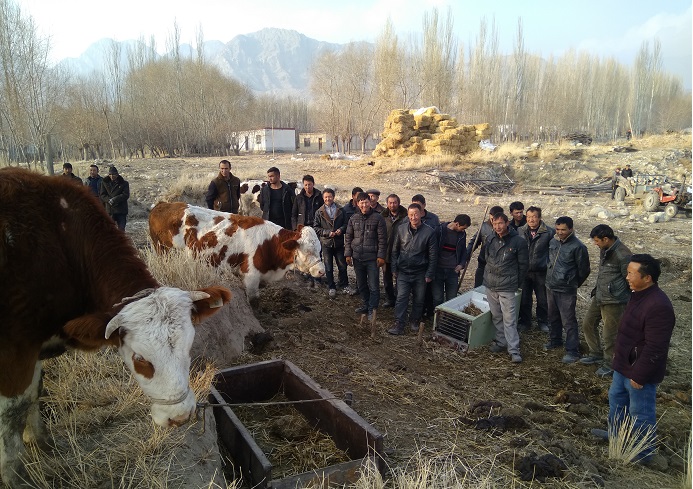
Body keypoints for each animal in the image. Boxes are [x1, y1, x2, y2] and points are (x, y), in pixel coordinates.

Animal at [0, 168, 232, 488]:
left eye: (189, 349)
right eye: (140, 360)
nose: (180, 417)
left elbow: (35, 392)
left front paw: (40, 442)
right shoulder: (16, 349)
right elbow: (12, 412)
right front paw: (14, 474)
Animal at [148, 202, 325, 300]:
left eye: (319, 249)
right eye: (308, 251)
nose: (321, 271)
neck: (269, 242)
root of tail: (162, 204)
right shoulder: (251, 276)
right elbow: (254, 299)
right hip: (163, 251)